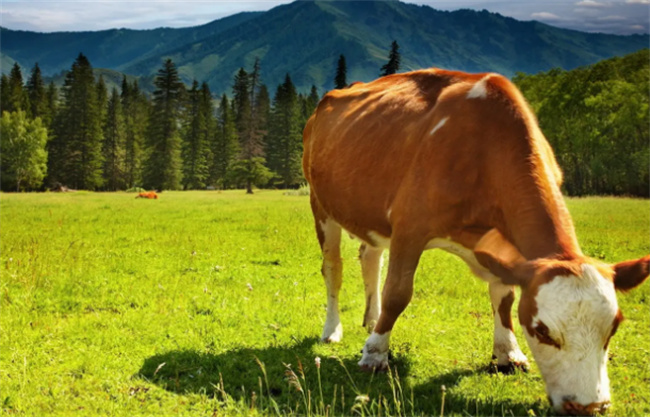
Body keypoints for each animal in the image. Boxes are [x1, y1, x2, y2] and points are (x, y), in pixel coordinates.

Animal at [304, 66, 648, 414]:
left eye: (614, 326)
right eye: (542, 330)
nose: (590, 406)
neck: (484, 151)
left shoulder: (506, 248)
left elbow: (504, 297)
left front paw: (508, 353)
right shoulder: (408, 226)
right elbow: (397, 294)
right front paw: (375, 354)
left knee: (370, 258)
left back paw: (371, 318)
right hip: (321, 206)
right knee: (333, 270)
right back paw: (332, 330)